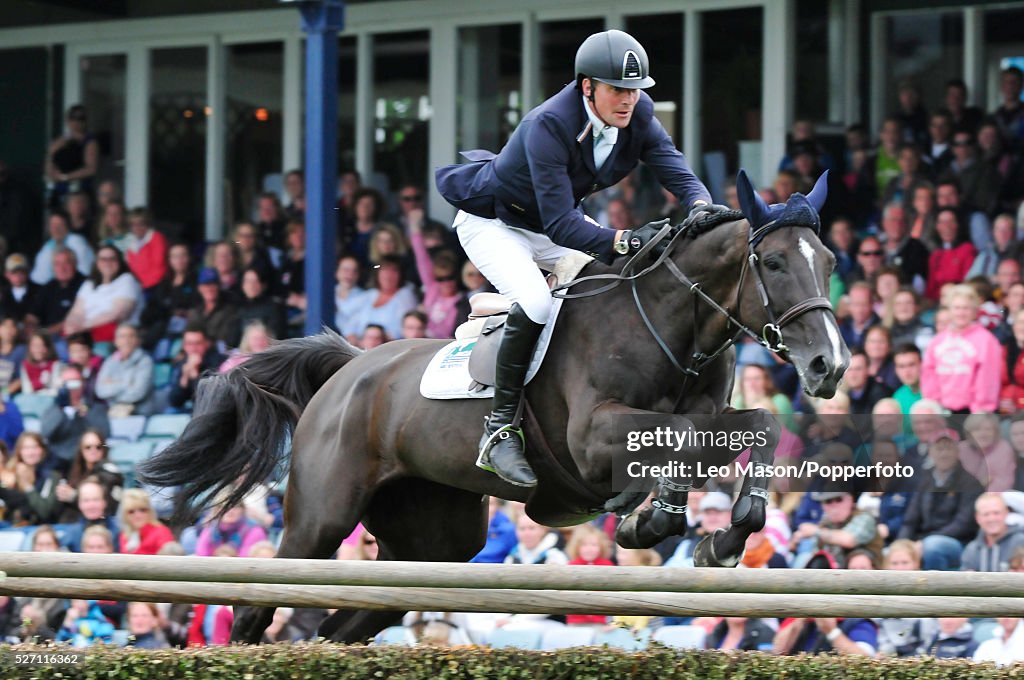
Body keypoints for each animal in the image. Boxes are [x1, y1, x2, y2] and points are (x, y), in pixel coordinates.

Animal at [140, 168, 851, 643]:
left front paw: (720, 536)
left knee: (351, 620)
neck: (671, 324)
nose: (830, 365)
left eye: (830, 260)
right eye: (775, 263)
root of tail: (348, 370)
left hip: (435, 542)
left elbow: (752, 427)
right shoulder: (593, 438)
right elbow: (678, 437)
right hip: (319, 520)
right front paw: (652, 521)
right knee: (258, 605)